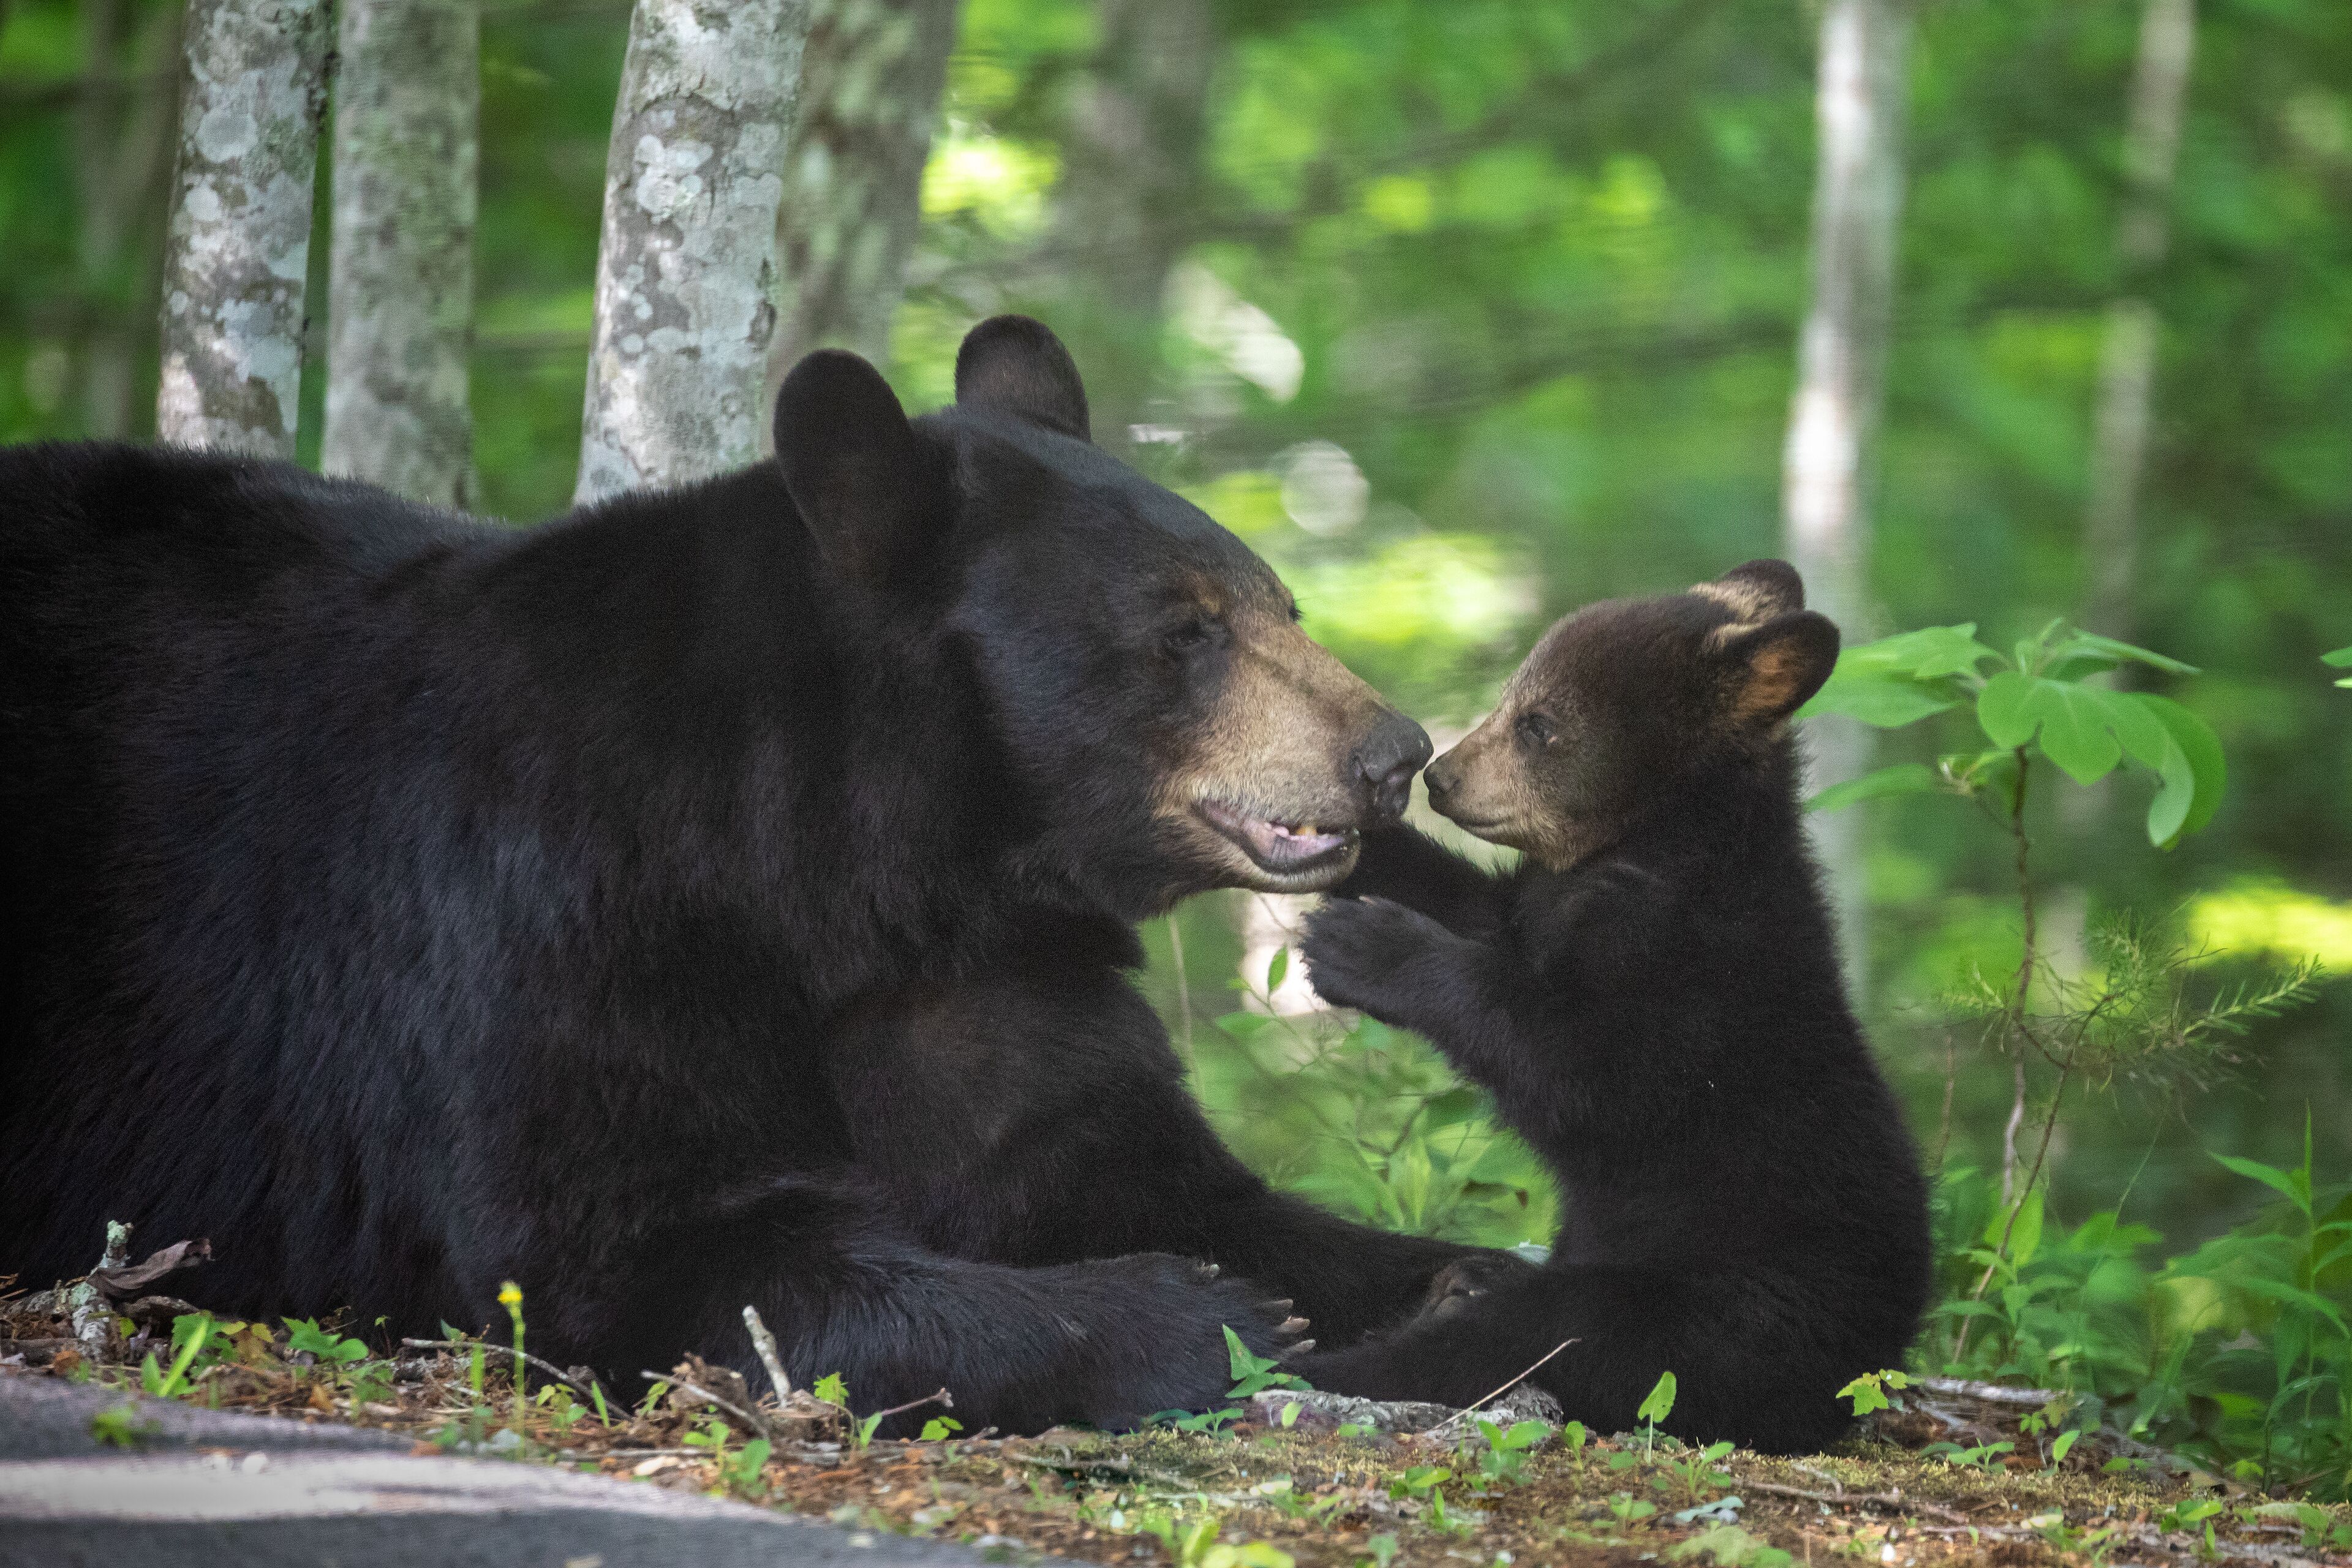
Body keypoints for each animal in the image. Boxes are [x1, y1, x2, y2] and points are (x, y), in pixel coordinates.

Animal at [0, 316, 1490, 1434]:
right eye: (1186, 628)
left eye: (1279, 601)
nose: (1392, 753)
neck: (872, 870)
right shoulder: (557, 920)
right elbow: (633, 1250)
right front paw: (1202, 1311)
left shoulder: (995, 985)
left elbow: (1132, 1165)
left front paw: (1456, 1284)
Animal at [1292, 560, 1932, 1454]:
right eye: (1513, 695)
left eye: (1539, 724)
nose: (1442, 777)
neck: (1650, 842)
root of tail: (1875, 1369)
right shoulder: (1546, 908)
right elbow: (1481, 912)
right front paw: (1347, 835)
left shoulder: (1686, 962)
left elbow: (1576, 1069)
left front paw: (1364, 944)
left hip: (1725, 1313)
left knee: (1538, 1334)